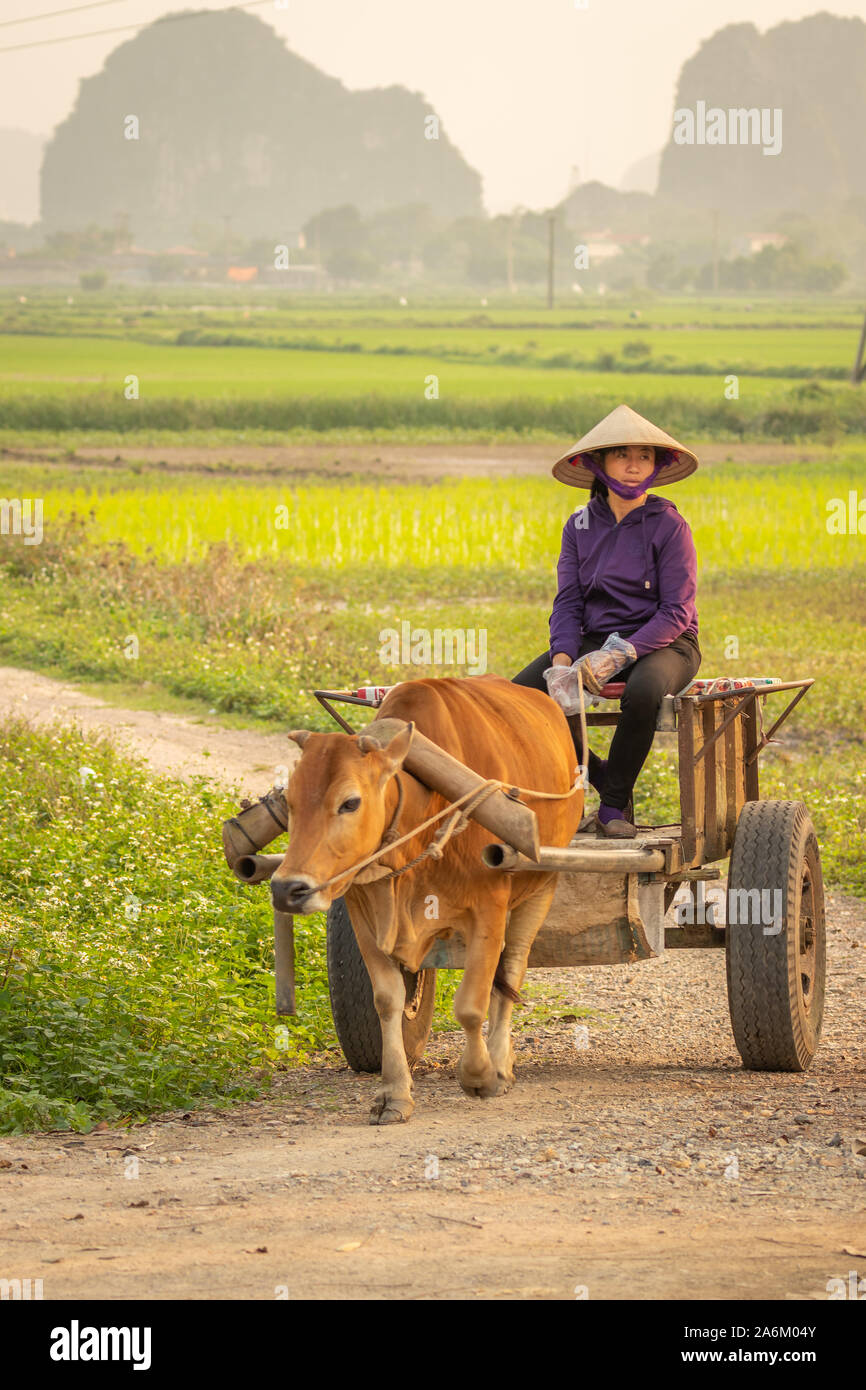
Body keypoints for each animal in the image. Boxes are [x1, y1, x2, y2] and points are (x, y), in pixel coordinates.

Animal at [271, 678, 583, 1123]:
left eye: (350, 802)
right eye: (289, 801)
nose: (287, 889)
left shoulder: (489, 909)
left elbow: (470, 1004)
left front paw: (479, 1076)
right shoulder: (363, 914)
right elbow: (387, 1001)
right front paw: (394, 1093)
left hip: (542, 884)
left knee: (513, 967)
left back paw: (500, 1062)